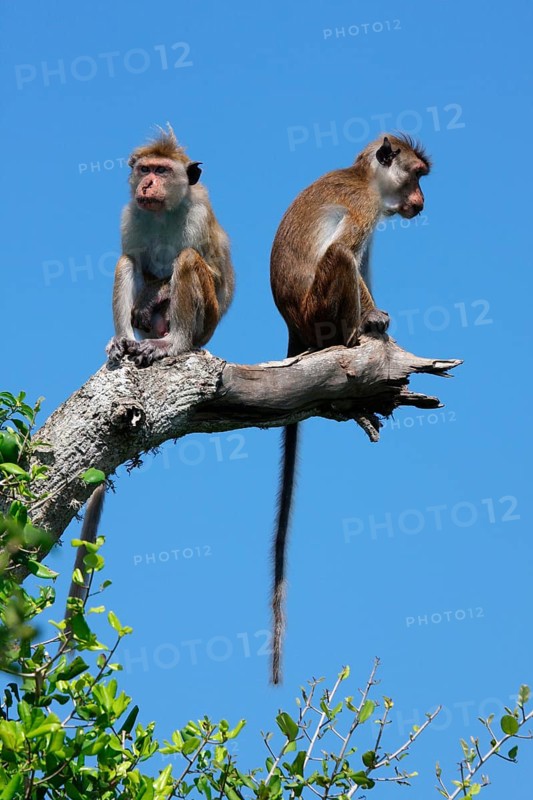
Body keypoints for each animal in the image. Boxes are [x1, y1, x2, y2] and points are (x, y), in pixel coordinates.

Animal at [106, 124, 235, 367]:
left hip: (203, 325)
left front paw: (151, 297)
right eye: (145, 170)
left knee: (188, 259)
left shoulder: (198, 216)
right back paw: (124, 339)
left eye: (162, 171)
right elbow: (135, 261)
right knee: (127, 261)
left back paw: (173, 343)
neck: (162, 213)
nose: (147, 185)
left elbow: (216, 276)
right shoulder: (130, 216)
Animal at [269, 134, 431, 683]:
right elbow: (345, 254)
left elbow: (363, 264)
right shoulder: (363, 207)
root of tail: (295, 329)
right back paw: (355, 336)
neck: (367, 179)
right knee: (339, 262)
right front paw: (375, 320)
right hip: (320, 312)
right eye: (417, 175)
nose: (422, 200)